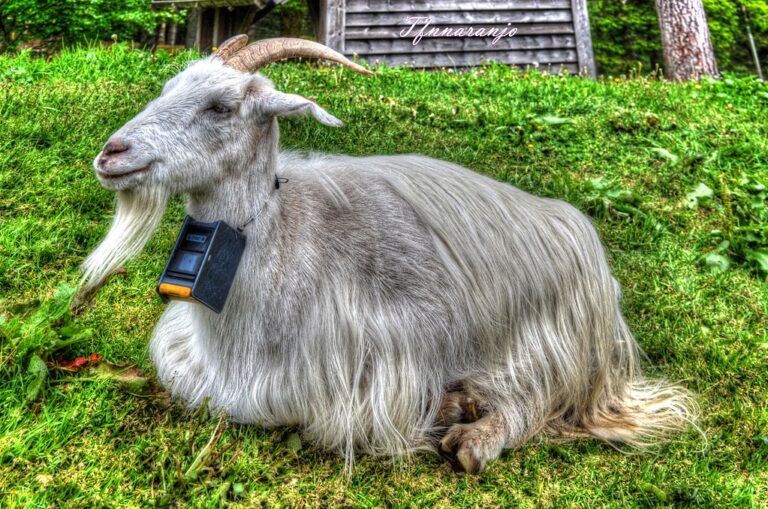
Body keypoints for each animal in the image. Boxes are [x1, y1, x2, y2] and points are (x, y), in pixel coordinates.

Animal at [74, 36, 696, 473]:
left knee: (546, 397)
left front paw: (449, 411)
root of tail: (572, 225)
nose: (112, 153)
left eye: (220, 107)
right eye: (169, 89)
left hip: (558, 340)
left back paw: (473, 434)